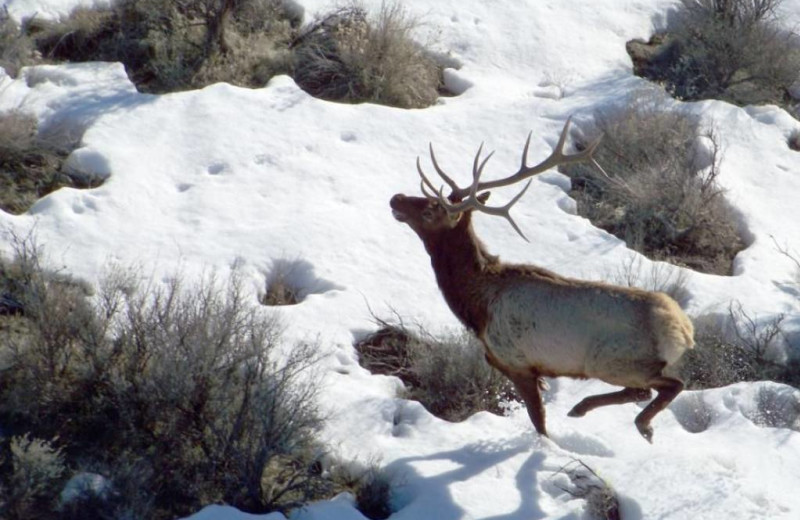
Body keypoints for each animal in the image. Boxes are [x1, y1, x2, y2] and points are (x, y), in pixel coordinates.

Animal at [390, 119, 692, 442]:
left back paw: (636, 422)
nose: (396, 198)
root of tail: (683, 330)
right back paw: (585, 409)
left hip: (613, 361)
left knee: (667, 385)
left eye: (430, 209)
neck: (477, 306)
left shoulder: (517, 362)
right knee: (644, 390)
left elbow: (539, 422)